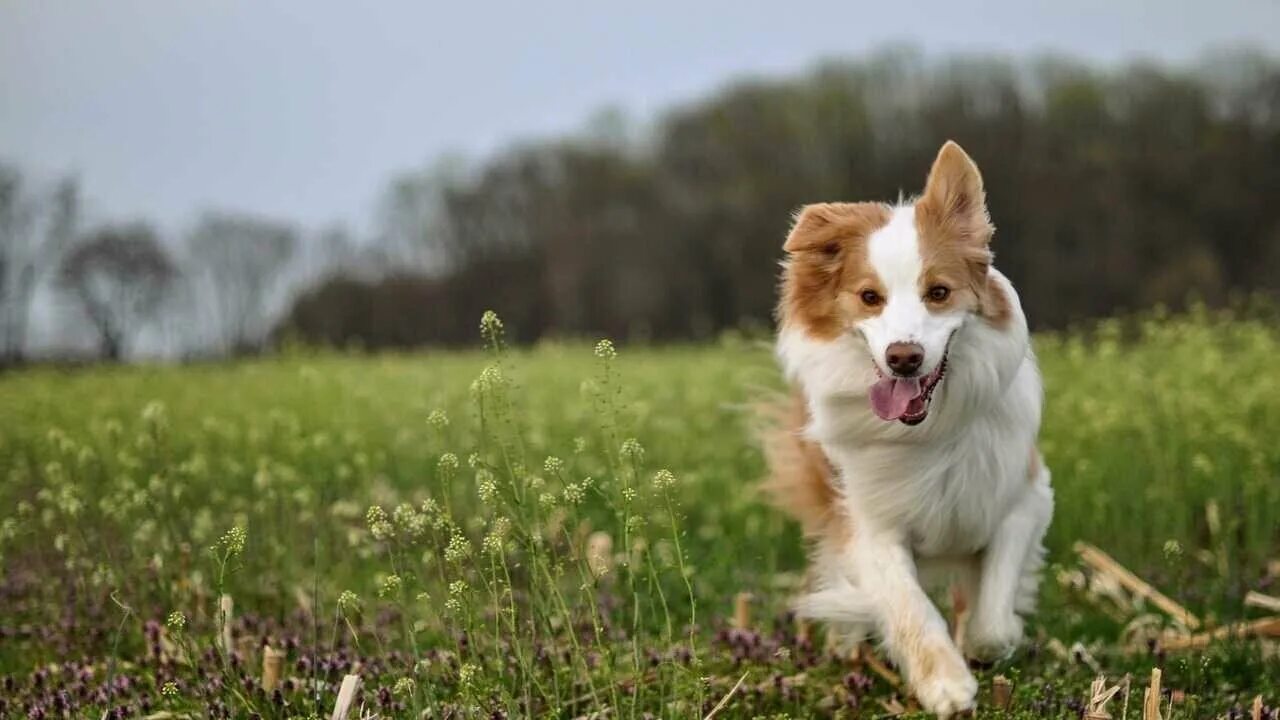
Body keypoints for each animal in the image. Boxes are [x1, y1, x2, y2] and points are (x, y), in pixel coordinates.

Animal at [762, 139, 1054, 712]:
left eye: (938, 292)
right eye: (869, 297)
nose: (903, 358)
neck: (927, 428)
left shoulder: (1022, 499)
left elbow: (991, 614)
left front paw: (988, 644)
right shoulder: (872, 525)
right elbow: (910, 608)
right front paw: (945, 684)